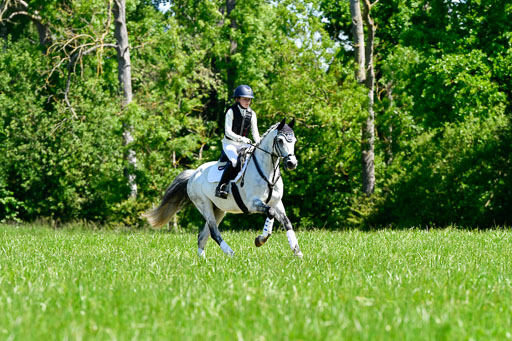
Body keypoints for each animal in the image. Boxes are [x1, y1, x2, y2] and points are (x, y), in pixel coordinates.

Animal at [142, 118, 302, 256]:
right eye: (280, 140)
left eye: (294, 140)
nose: (292, 163)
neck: (267, 173)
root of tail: (193, 174)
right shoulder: (252, 204)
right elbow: (270, 213)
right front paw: (260, 240)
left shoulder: (276, 202)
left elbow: (285, 222)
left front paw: (297, 252)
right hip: (204, 205)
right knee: (213, 232)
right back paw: (230, 253)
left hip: (218, 209)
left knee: (202, 236)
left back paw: (202, 261)